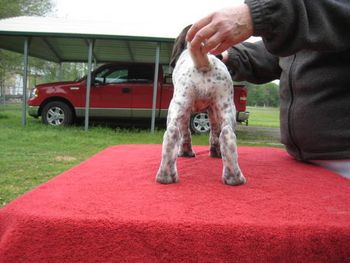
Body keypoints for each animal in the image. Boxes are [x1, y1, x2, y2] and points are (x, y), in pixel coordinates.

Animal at [156, 24, 246, 186]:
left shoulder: (188, 112)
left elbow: (186, 134)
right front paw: (214, 153)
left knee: (173, 132)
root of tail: (205, 63)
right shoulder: (210, 110)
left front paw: (186, 153)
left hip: (178, 105)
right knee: (226, 134)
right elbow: (213, 134)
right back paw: (234, 178)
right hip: (226, 105)